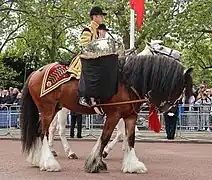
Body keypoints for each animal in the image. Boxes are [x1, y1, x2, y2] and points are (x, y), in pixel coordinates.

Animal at [20, 52, 193, 173]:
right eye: (181, 87)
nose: (167, 109)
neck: (127, 81)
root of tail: (37, 72)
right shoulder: (113, 115)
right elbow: (105, 137)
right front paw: (95, 163)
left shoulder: (130, 116)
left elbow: (130, 139)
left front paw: (132, 165)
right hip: (48, 109)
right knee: (45, 132)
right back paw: (50, 162)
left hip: (54, 108)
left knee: (41, 131)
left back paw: (39, 160)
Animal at [47, 39, 181, 159]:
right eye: (161, 47)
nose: (179, 54)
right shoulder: (117, 111)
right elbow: (120, 133)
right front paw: (106, 151)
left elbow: (122, 133)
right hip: (64, 108)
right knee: (60, 128)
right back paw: (69, 152)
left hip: (58, 107)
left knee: (52, 127)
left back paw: (52, 150)